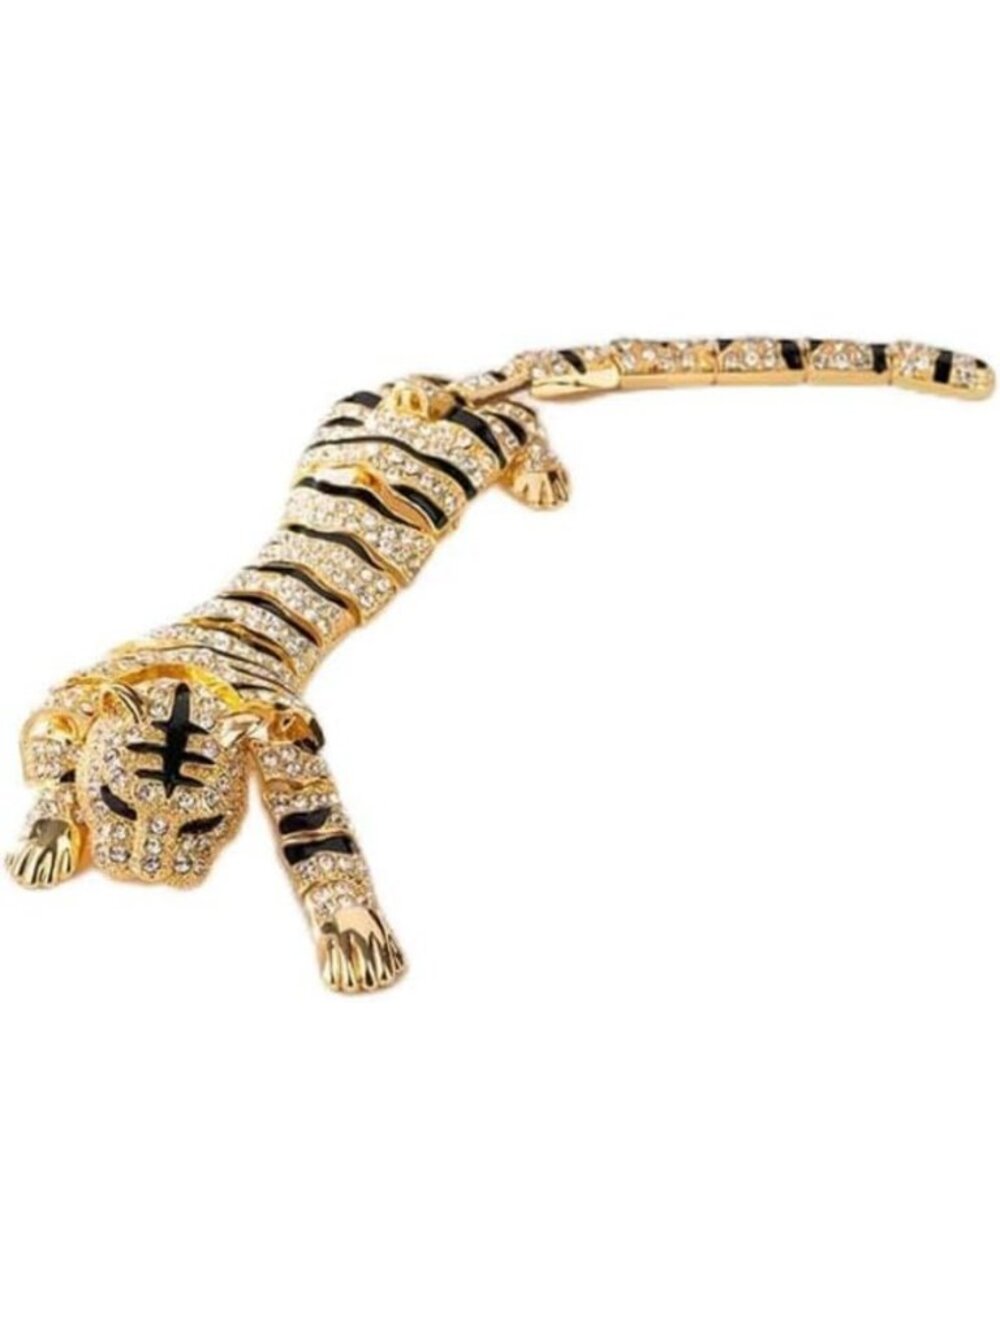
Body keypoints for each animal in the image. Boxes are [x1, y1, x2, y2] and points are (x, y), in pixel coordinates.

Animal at [6, 336, 993, 992]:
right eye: (120, 807)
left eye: (206, 826)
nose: (143, 877)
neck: (198, 669)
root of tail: (435, 389)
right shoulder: (74, 694)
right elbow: (47, 755)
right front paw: (46, 840)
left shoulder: (289, 747)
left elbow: (323, 843)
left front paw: (357, 940)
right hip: (341, 423)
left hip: (480, 438)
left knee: (526, 415)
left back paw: (545, 475)